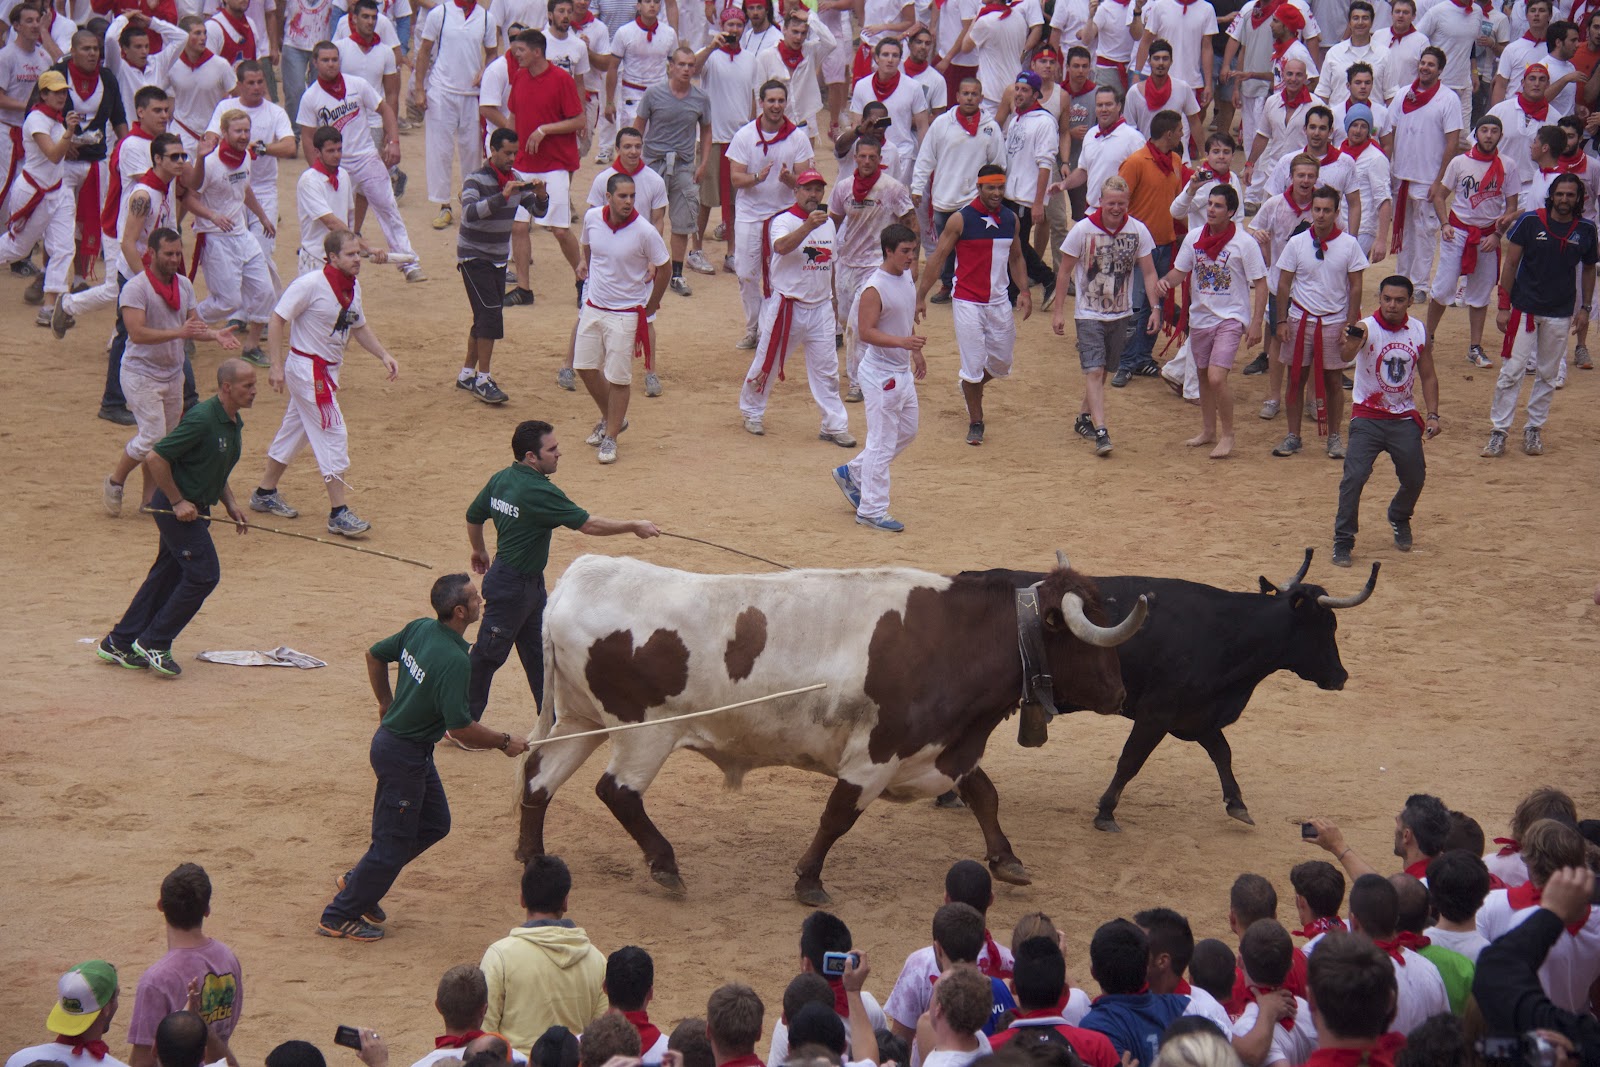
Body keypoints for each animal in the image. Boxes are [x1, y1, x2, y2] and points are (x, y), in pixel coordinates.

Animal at [513, 554, 1150, 906]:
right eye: (1088, 638)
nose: (1121, 694)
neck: (951, 638)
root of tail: (573, 583)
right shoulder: (875, 755)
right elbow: (837, 816)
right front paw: (808, 879)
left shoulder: (941, 748)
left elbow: (984, 794)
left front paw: (1007, 860)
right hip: (644, 733)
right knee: (616, 792)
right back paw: (665, 864)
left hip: (580, 722)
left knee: (538, 778)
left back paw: (532, 855)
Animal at [959, 549, 1378, 833]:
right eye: (1327, 624)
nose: (1340, 676)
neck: (1225, 632)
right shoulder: (1156, 714)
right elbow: (1130, 760)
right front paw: (1106, 811)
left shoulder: (1197, 715)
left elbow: (1223, 753)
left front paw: (1237, 804)